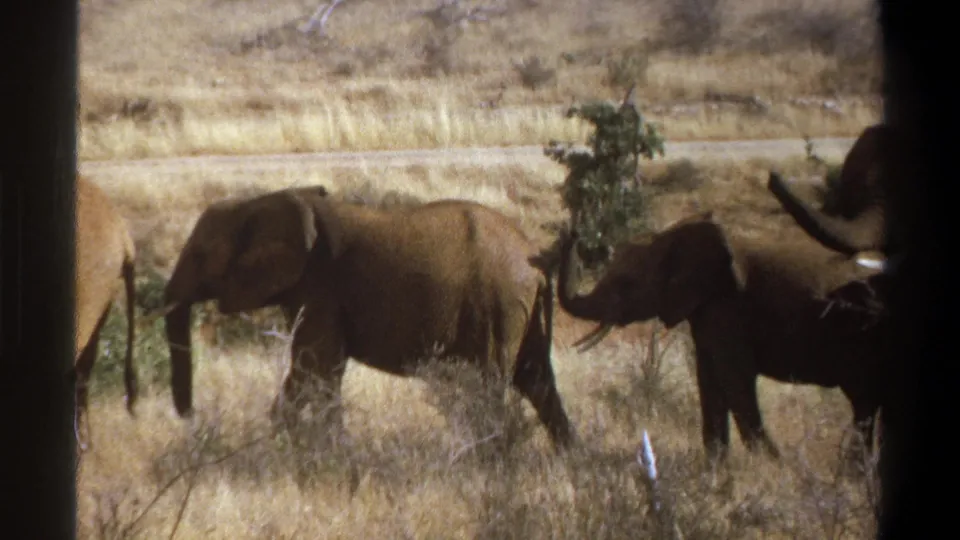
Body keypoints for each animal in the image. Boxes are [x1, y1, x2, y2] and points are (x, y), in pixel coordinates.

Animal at [160, 185, 576, 452]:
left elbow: (317, 367)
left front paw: (332, 453)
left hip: (497, 303)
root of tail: (536, 260)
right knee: (537, 380)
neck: (259, 202)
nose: (191, 418)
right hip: (518, 310)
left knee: (491, 384)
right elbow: (309, 369)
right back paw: (571, 459)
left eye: (199, 255)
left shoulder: (320, 286)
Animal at [555, 210, 888, 465]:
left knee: (863, 404)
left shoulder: (727, 308)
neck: (669, 237)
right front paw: (717, 471)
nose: (572, 229)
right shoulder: (708, 312)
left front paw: (775, 468)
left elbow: (734, 380)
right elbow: (710, 381)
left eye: (626, 284)